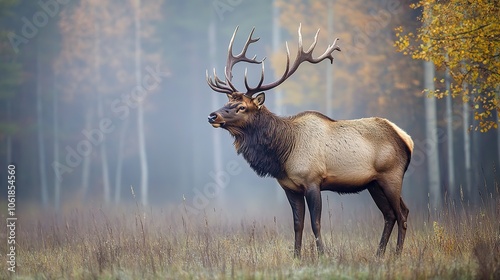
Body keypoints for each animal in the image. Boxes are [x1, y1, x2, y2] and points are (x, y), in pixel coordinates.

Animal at [205, 24, 412, 258]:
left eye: (241, 107)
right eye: (227, 102)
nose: (212, 116)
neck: (283, 153)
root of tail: (405, 138)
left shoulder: (313, 180)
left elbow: (315, 223)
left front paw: (323, 255)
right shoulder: (290, 187)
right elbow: (298, 224)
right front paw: (296, 256)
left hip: (391, 175)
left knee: (402, 213)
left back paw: (397, 254)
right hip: (373, 183)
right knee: (389, 215)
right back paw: (378, 254)